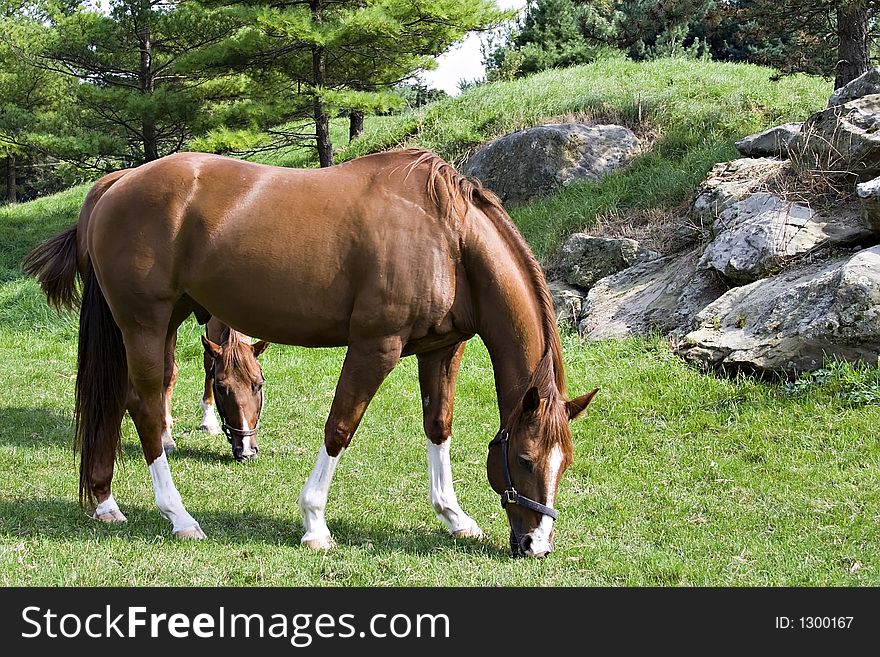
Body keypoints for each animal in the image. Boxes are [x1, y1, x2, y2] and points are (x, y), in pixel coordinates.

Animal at [24, 151, 600, 556]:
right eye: (524, 460)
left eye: (564, 463)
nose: (537, 546)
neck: (448, 239)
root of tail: (117, 183)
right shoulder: (376, 347)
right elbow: (340, 427)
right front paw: (315, 523)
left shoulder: (441, 351)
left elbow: (439, 426)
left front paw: (454, 517)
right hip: (145, 322)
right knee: (145, 408)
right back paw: (180, 518)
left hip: (162, 321)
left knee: (120, 400)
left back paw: (105, 502)